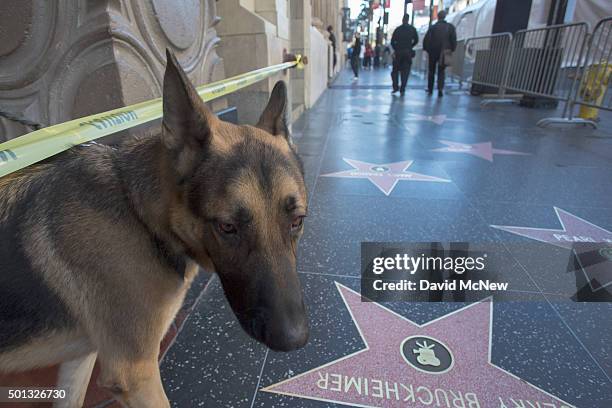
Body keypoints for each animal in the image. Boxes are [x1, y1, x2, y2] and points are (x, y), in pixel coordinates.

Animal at [0, 51, 306, 408]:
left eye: (297, 222)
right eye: (227, 226)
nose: (294, 339)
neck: (142, 216)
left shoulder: (81, 360)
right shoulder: (136, 375)